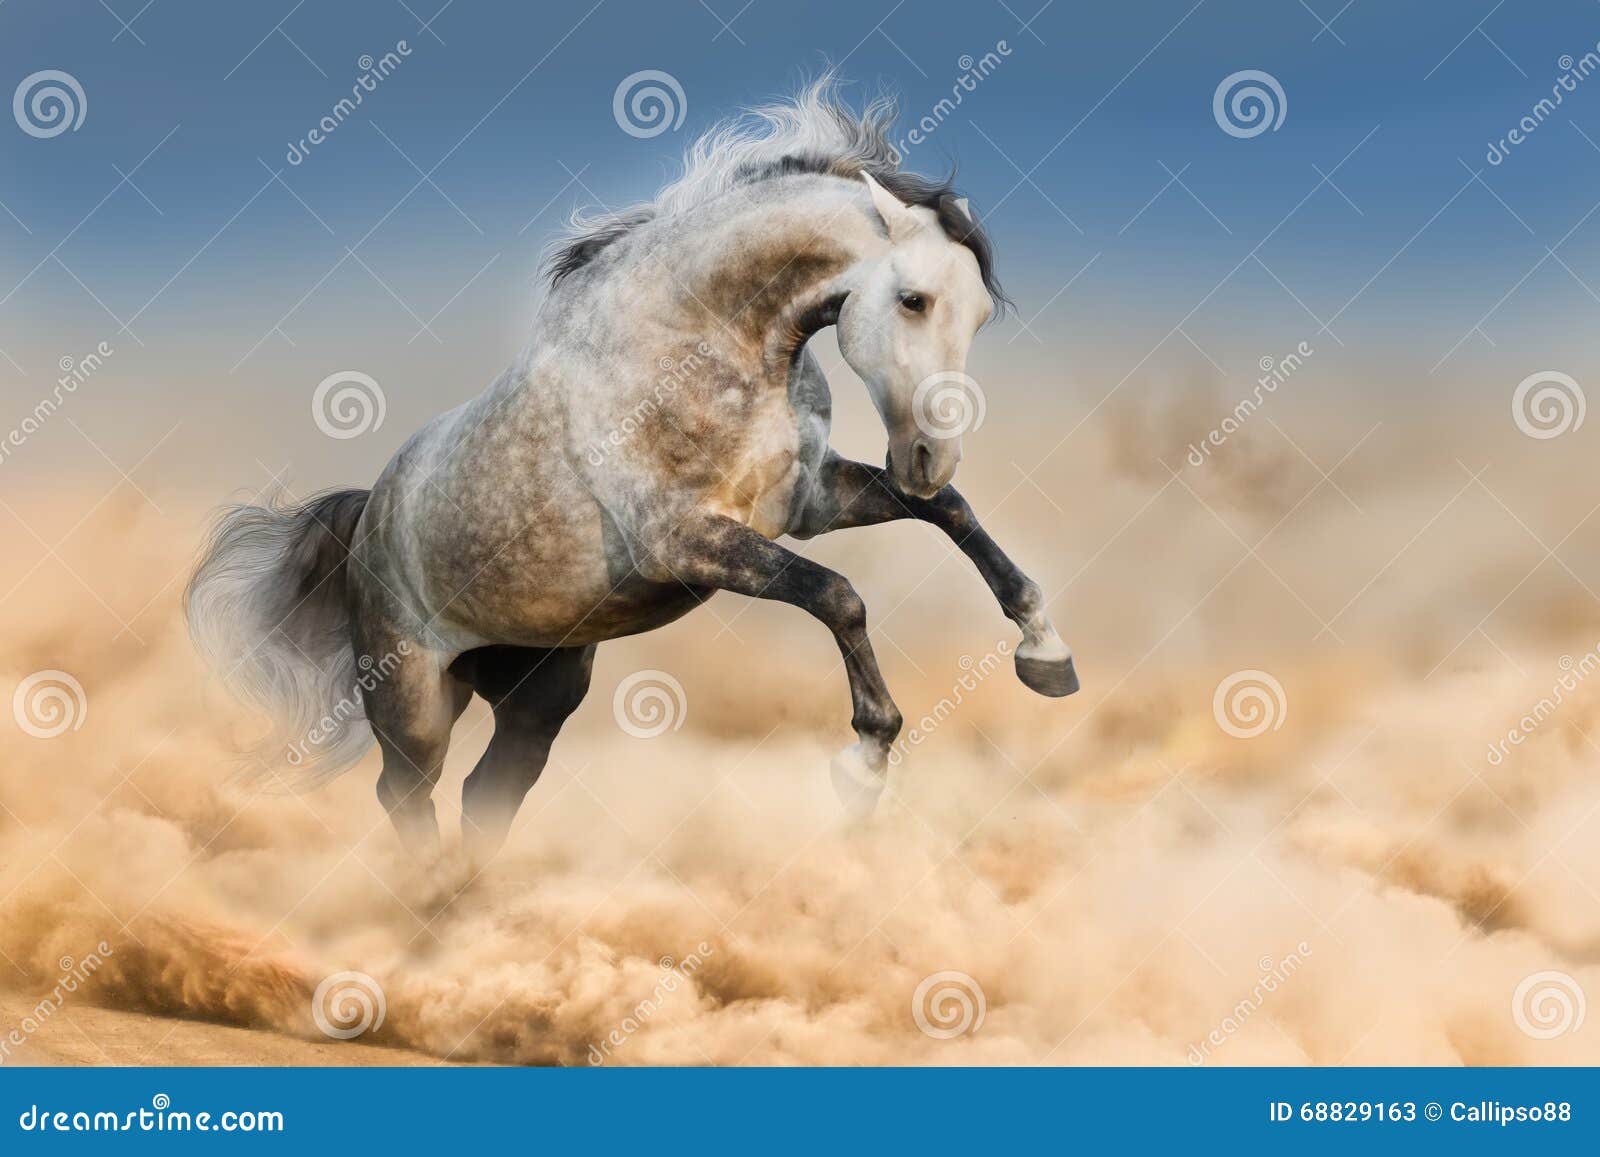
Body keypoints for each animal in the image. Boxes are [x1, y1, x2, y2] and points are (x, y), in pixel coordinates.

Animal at [185, 81, 1078, 866]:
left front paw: (1046, 654)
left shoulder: (807, 502)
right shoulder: (687, 541)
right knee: (405, 794)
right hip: (413, 701)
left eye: (979, 312)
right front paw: (861, 767)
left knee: (487, 793)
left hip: (538, 691)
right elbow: (838, 595)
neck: (703, 345)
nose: (926, 454)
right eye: (914, 300)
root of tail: (369, 514)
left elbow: (952, 515)